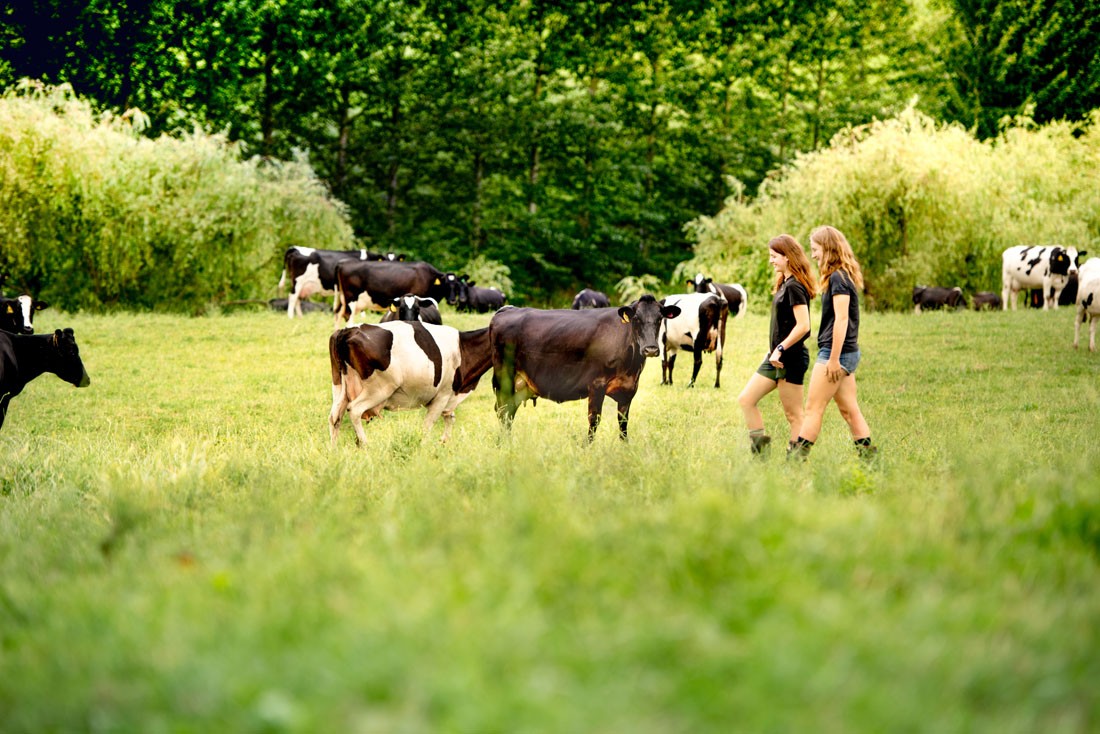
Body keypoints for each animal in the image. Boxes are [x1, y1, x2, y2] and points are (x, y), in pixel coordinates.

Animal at [327, 323, 492, 448]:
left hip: (339, 387)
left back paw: (334, 450)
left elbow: (450, 418)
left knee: (335, 417)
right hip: (379, 389)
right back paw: (365, 445)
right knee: (354, 410)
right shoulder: (443, 396)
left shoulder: (449, 398)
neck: (462, 349)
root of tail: (348, 330)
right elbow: (428, 427)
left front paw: (443, 442)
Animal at [490, 294, 677, 442]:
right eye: (636, 319)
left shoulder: (629, 388)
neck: (630, 367)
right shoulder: (596, 384)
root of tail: (507, 310)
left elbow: (623, 423)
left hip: (521, 384)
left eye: (660, 319)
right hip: (504, 376)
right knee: (502, 410)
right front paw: (588, 448)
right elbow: (594, 420)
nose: (651, 349)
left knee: (509, 411)